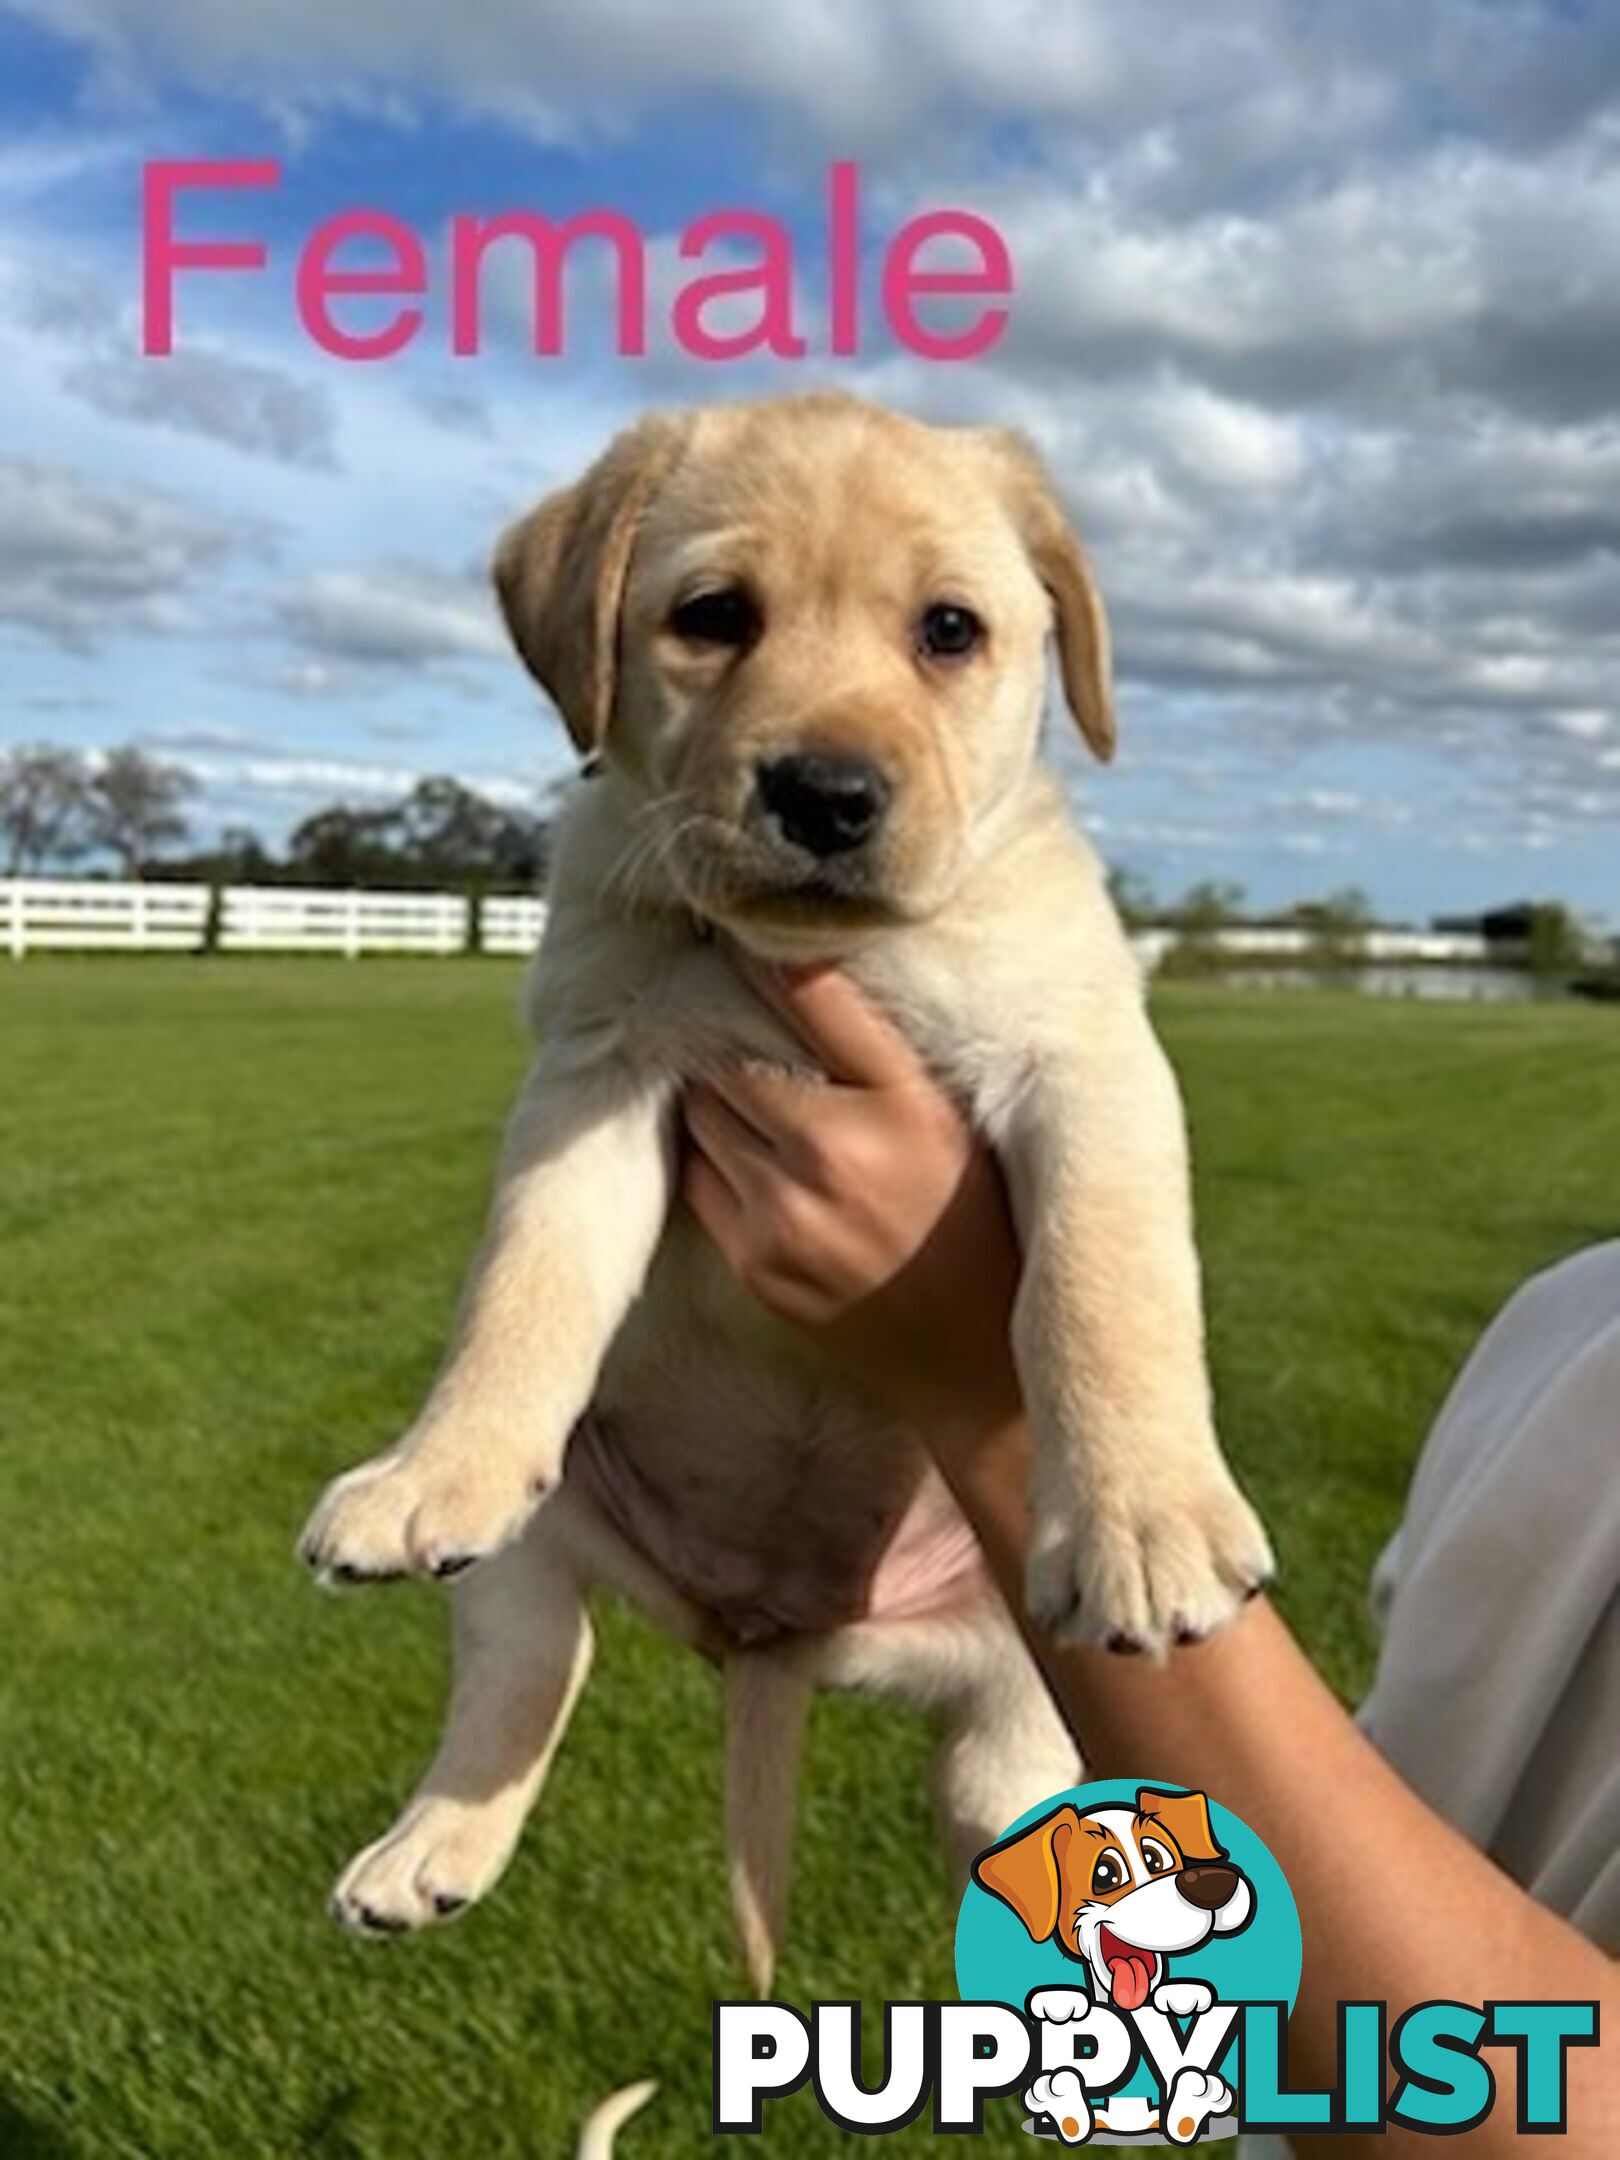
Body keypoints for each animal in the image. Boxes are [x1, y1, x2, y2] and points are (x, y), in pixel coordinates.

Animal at [298, 393, 1278, 1987]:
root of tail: (781, 1634)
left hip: (1016, 1680)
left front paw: (1146, 1517)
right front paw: (432, 1459)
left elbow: (1104, 1285)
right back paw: (427, 1845)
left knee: (1008, 1801)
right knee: (534, 1656)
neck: (818, 962)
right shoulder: (601, 1075)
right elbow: (526, 1284)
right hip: (541, 1536)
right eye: (713, 616)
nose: (825, 793)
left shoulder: (1088, 1060)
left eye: (949, 630)